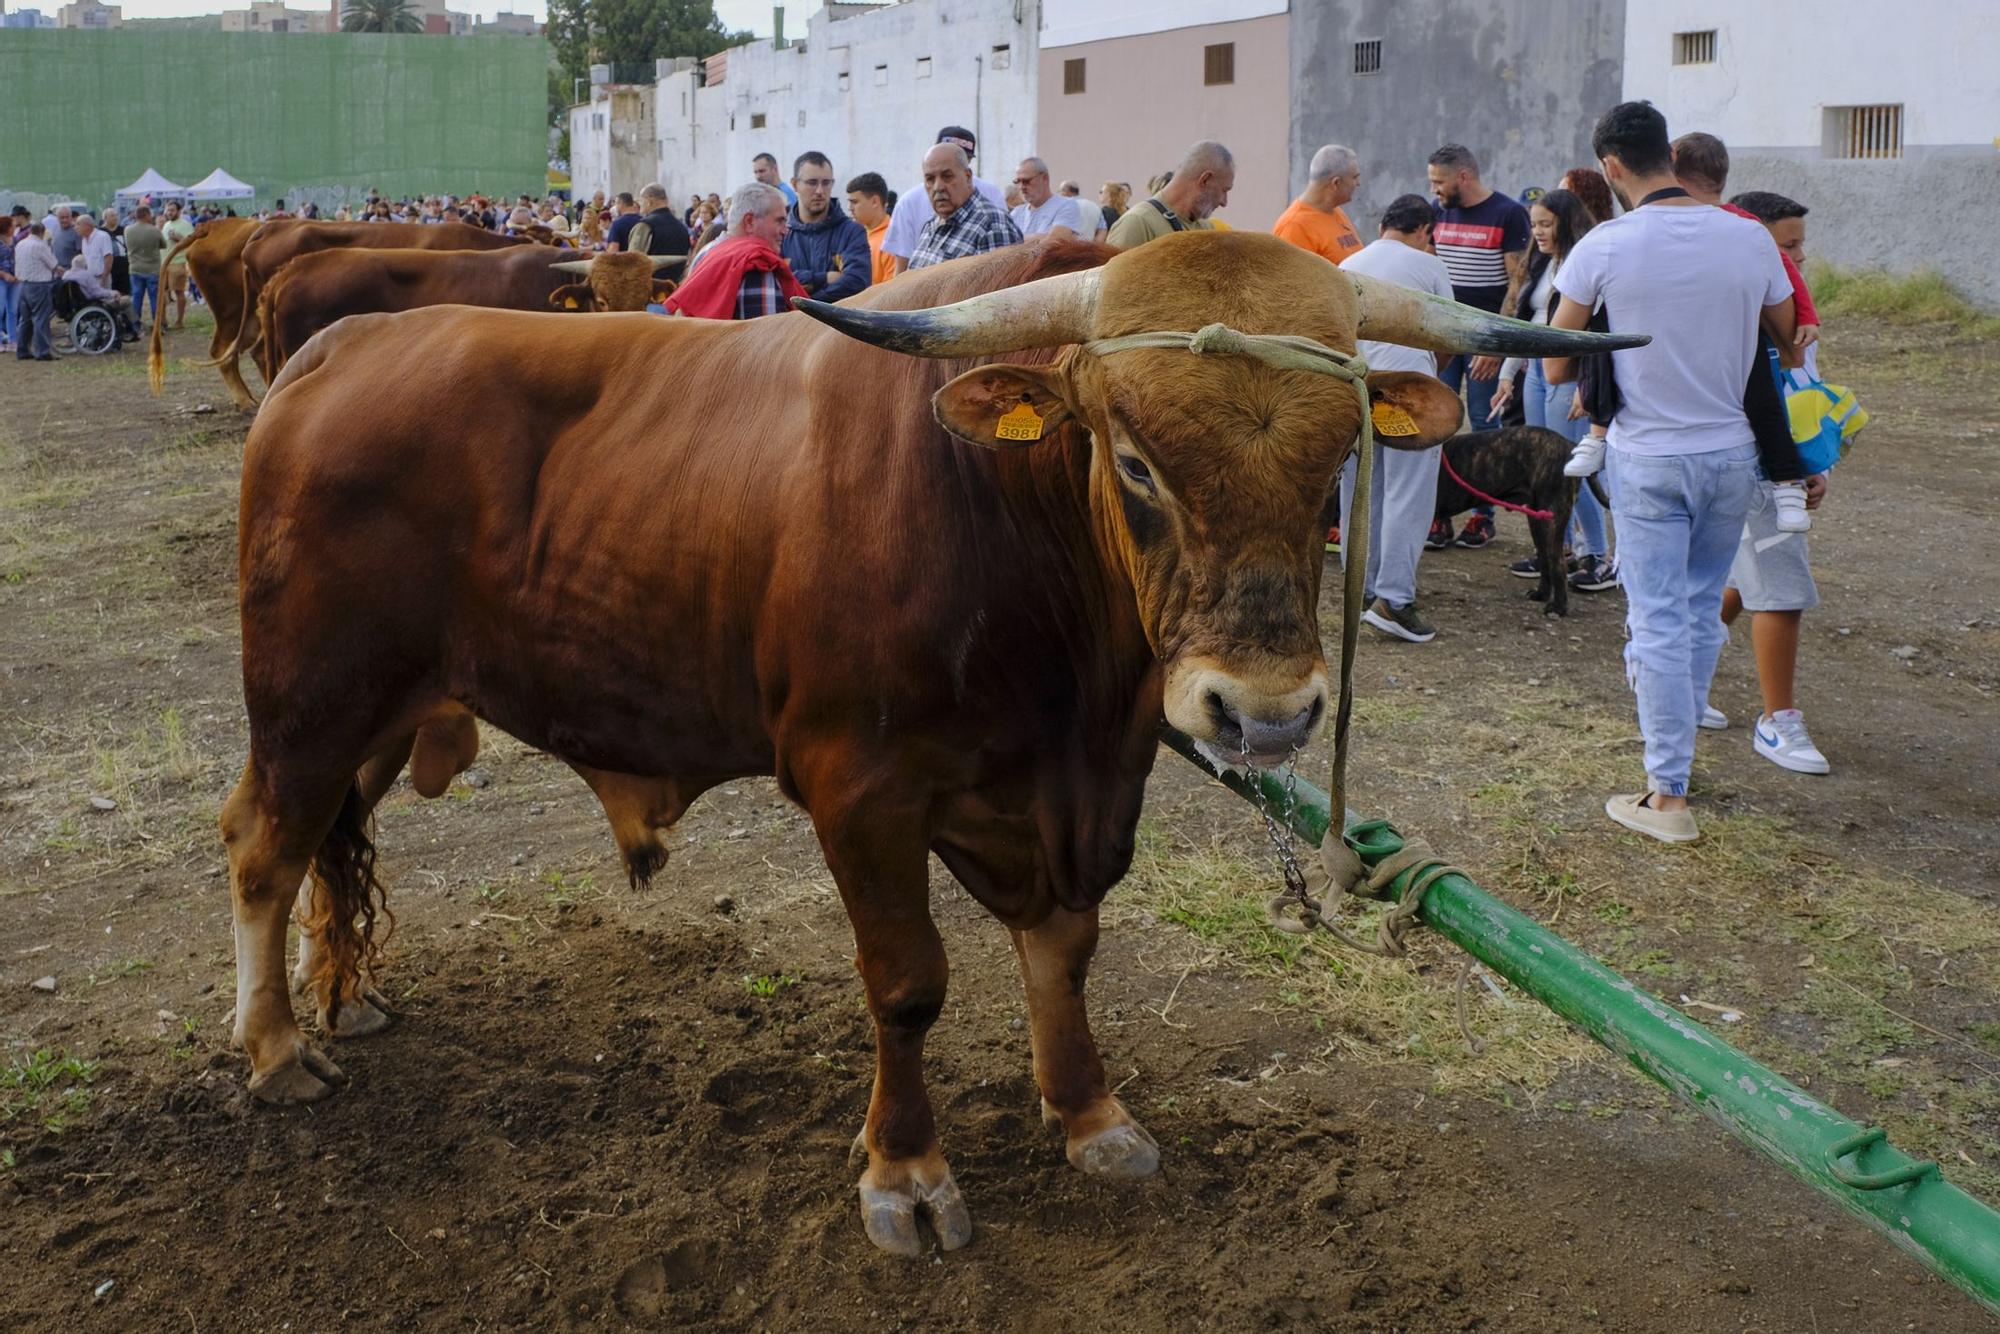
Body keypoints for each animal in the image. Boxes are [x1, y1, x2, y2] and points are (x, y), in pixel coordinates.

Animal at [1440, 426, 1608, 620]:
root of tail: (1569, 445)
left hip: (1552, 516)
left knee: (1558, 563)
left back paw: (1558, 608)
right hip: (1537, 520)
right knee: (1544, 559)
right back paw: (1541, 594)